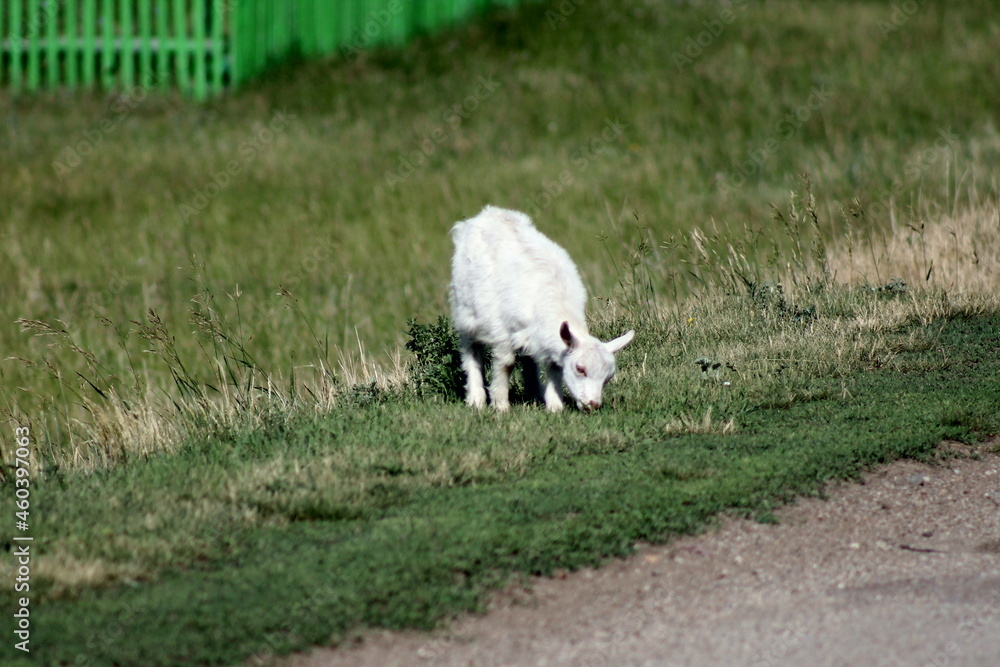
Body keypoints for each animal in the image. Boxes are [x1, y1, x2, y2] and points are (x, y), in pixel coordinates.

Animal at [449, 205, 634, 413]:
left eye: (608, 377)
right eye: (580, 369)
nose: (592, 405)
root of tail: (488, 213)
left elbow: (554, 366)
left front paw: (555, 407)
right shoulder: (501, 330)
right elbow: (506, 364)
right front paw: (501, 405)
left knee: (528, 358)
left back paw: (534, 393)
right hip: (465, 310)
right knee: (471, 350)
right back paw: (476, 399)